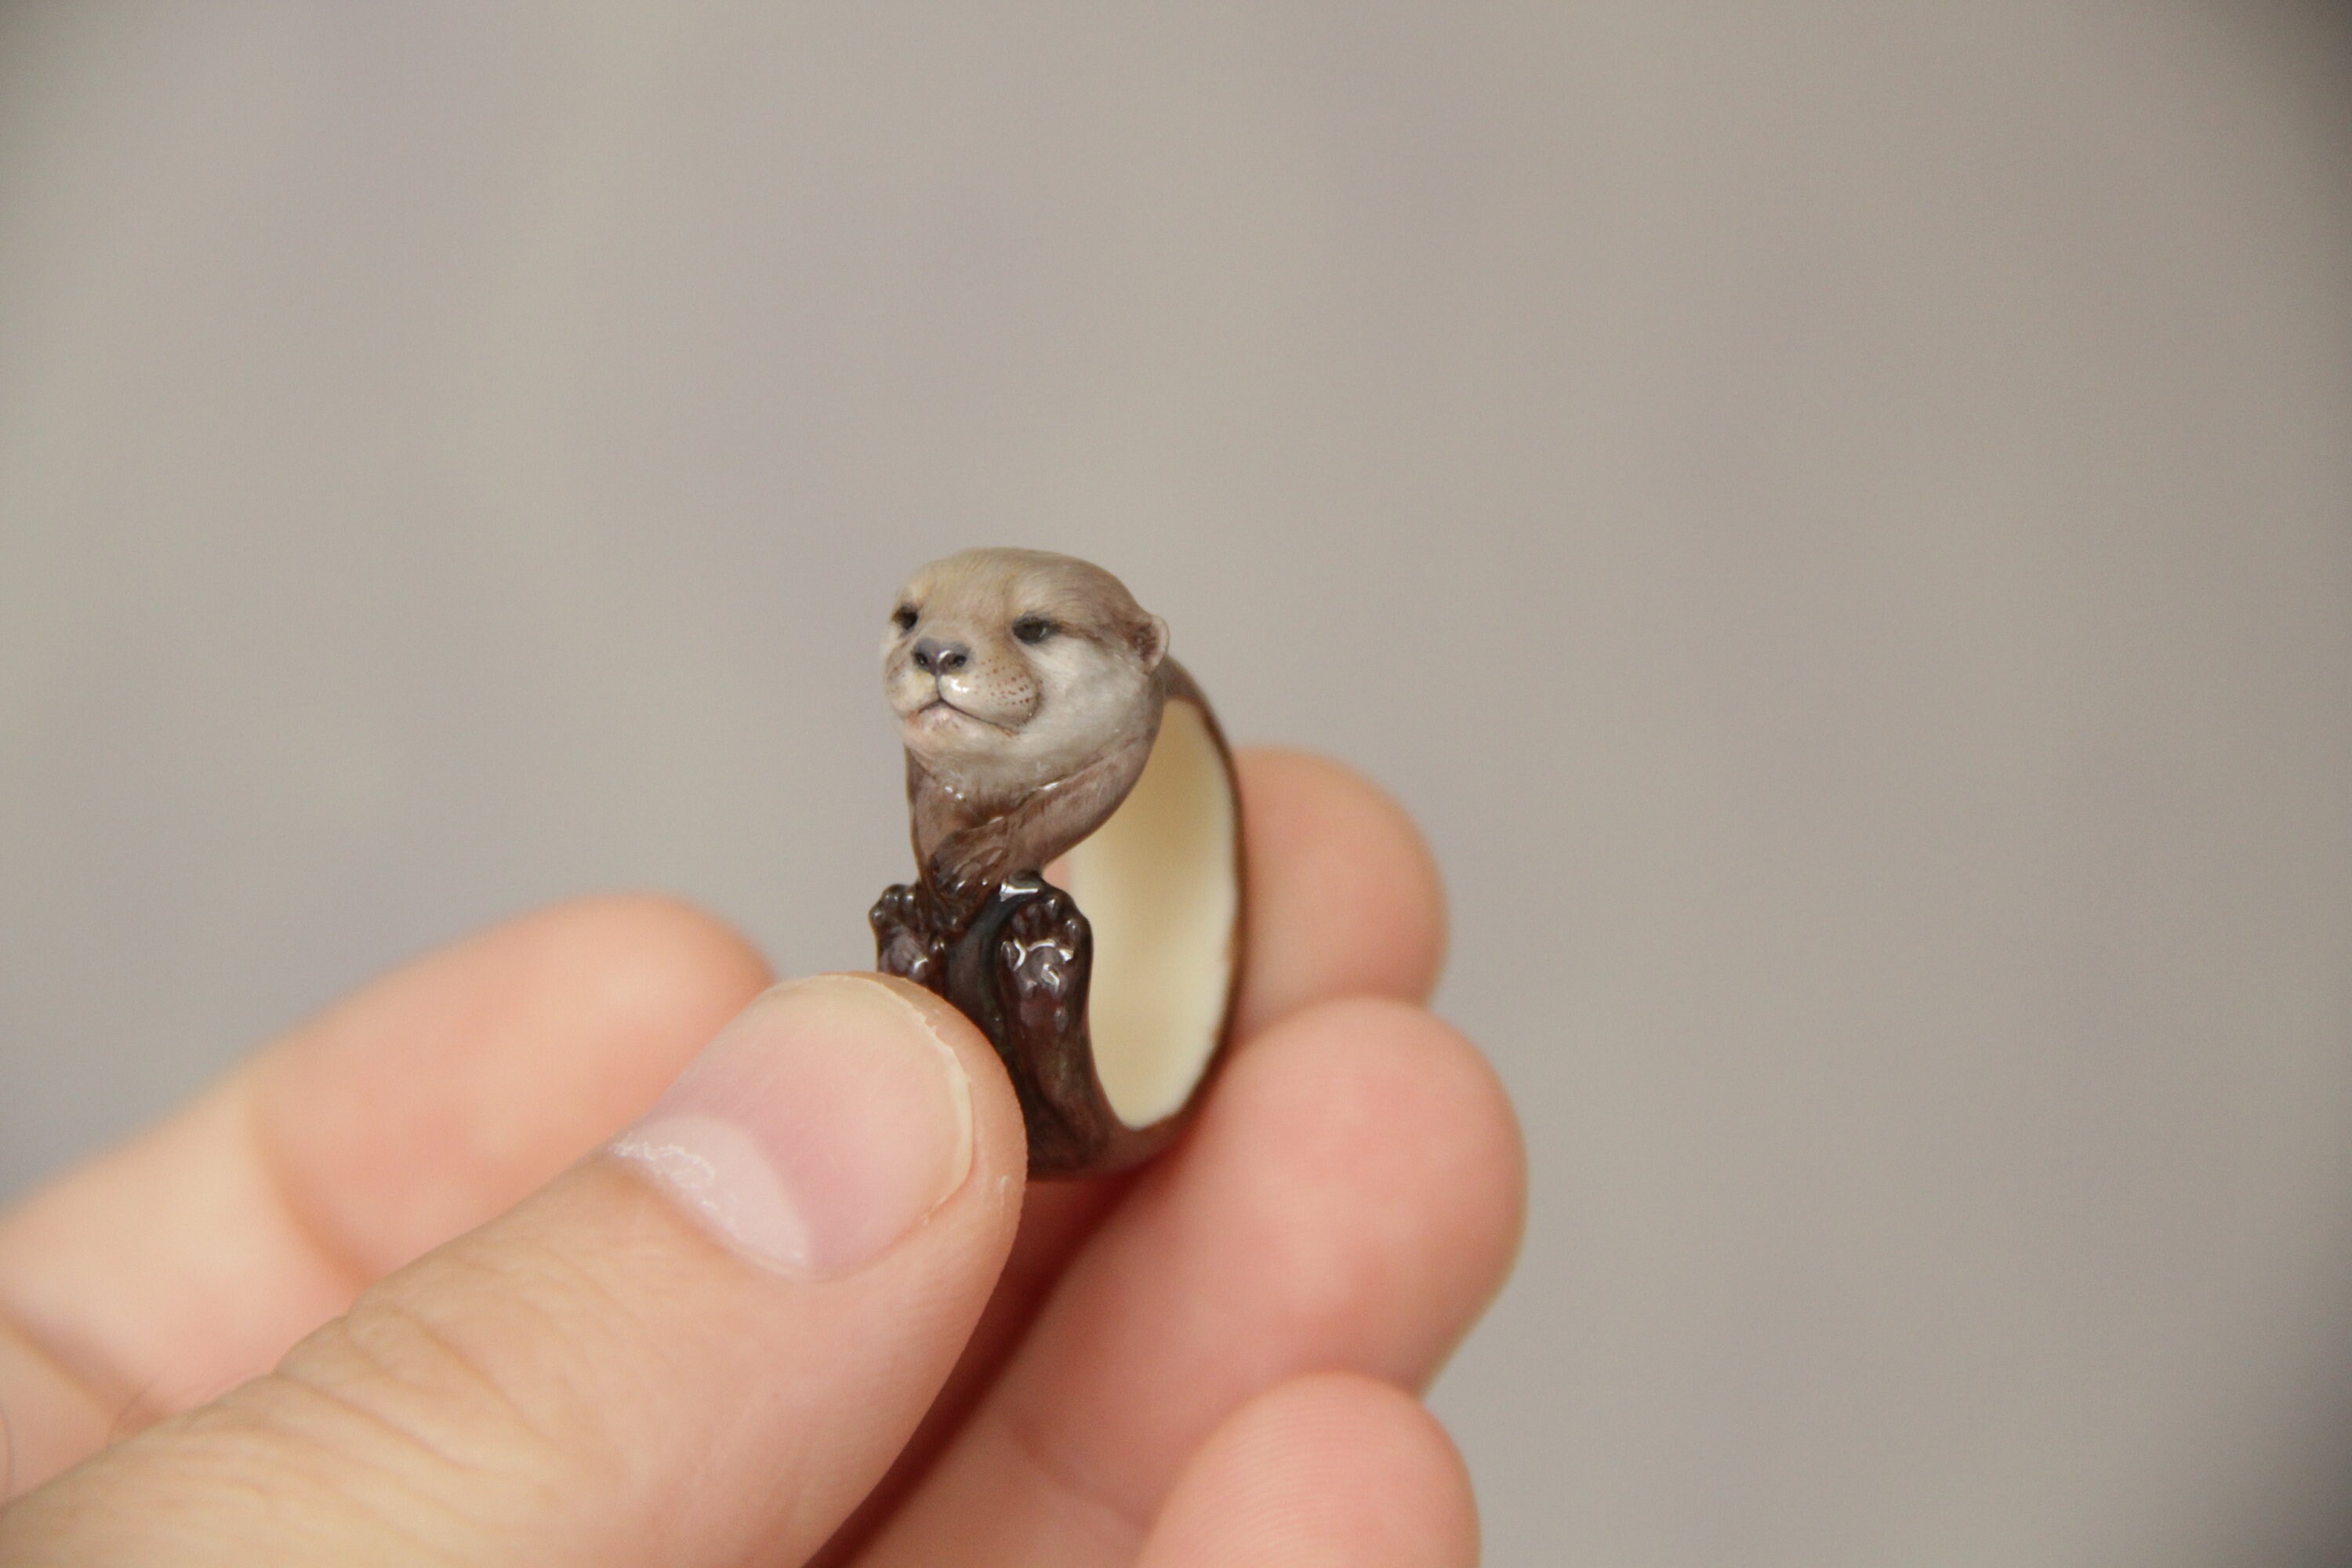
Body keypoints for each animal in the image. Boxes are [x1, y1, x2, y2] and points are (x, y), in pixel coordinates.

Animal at [881, 546, 1173, 924]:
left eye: (1033, 628)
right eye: (908, 617)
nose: (936, 652)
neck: (1002, 782)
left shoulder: (1129, 748)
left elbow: (1058, 812)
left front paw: (983, 857)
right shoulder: (927, 770)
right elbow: (927, 816)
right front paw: (934, 897)